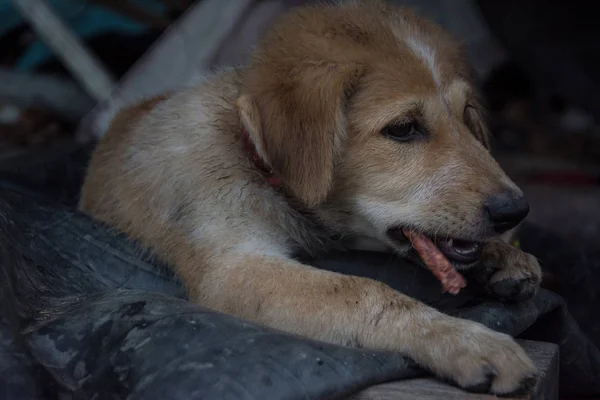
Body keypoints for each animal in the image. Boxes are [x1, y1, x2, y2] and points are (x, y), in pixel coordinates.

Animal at [77, 0, 540, 394]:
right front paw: (465, 340)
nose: (515, 210)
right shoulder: (232, 268)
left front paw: (502, 255)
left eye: (467, 116)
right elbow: (366, 292)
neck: (254, 162)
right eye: (403, 128)